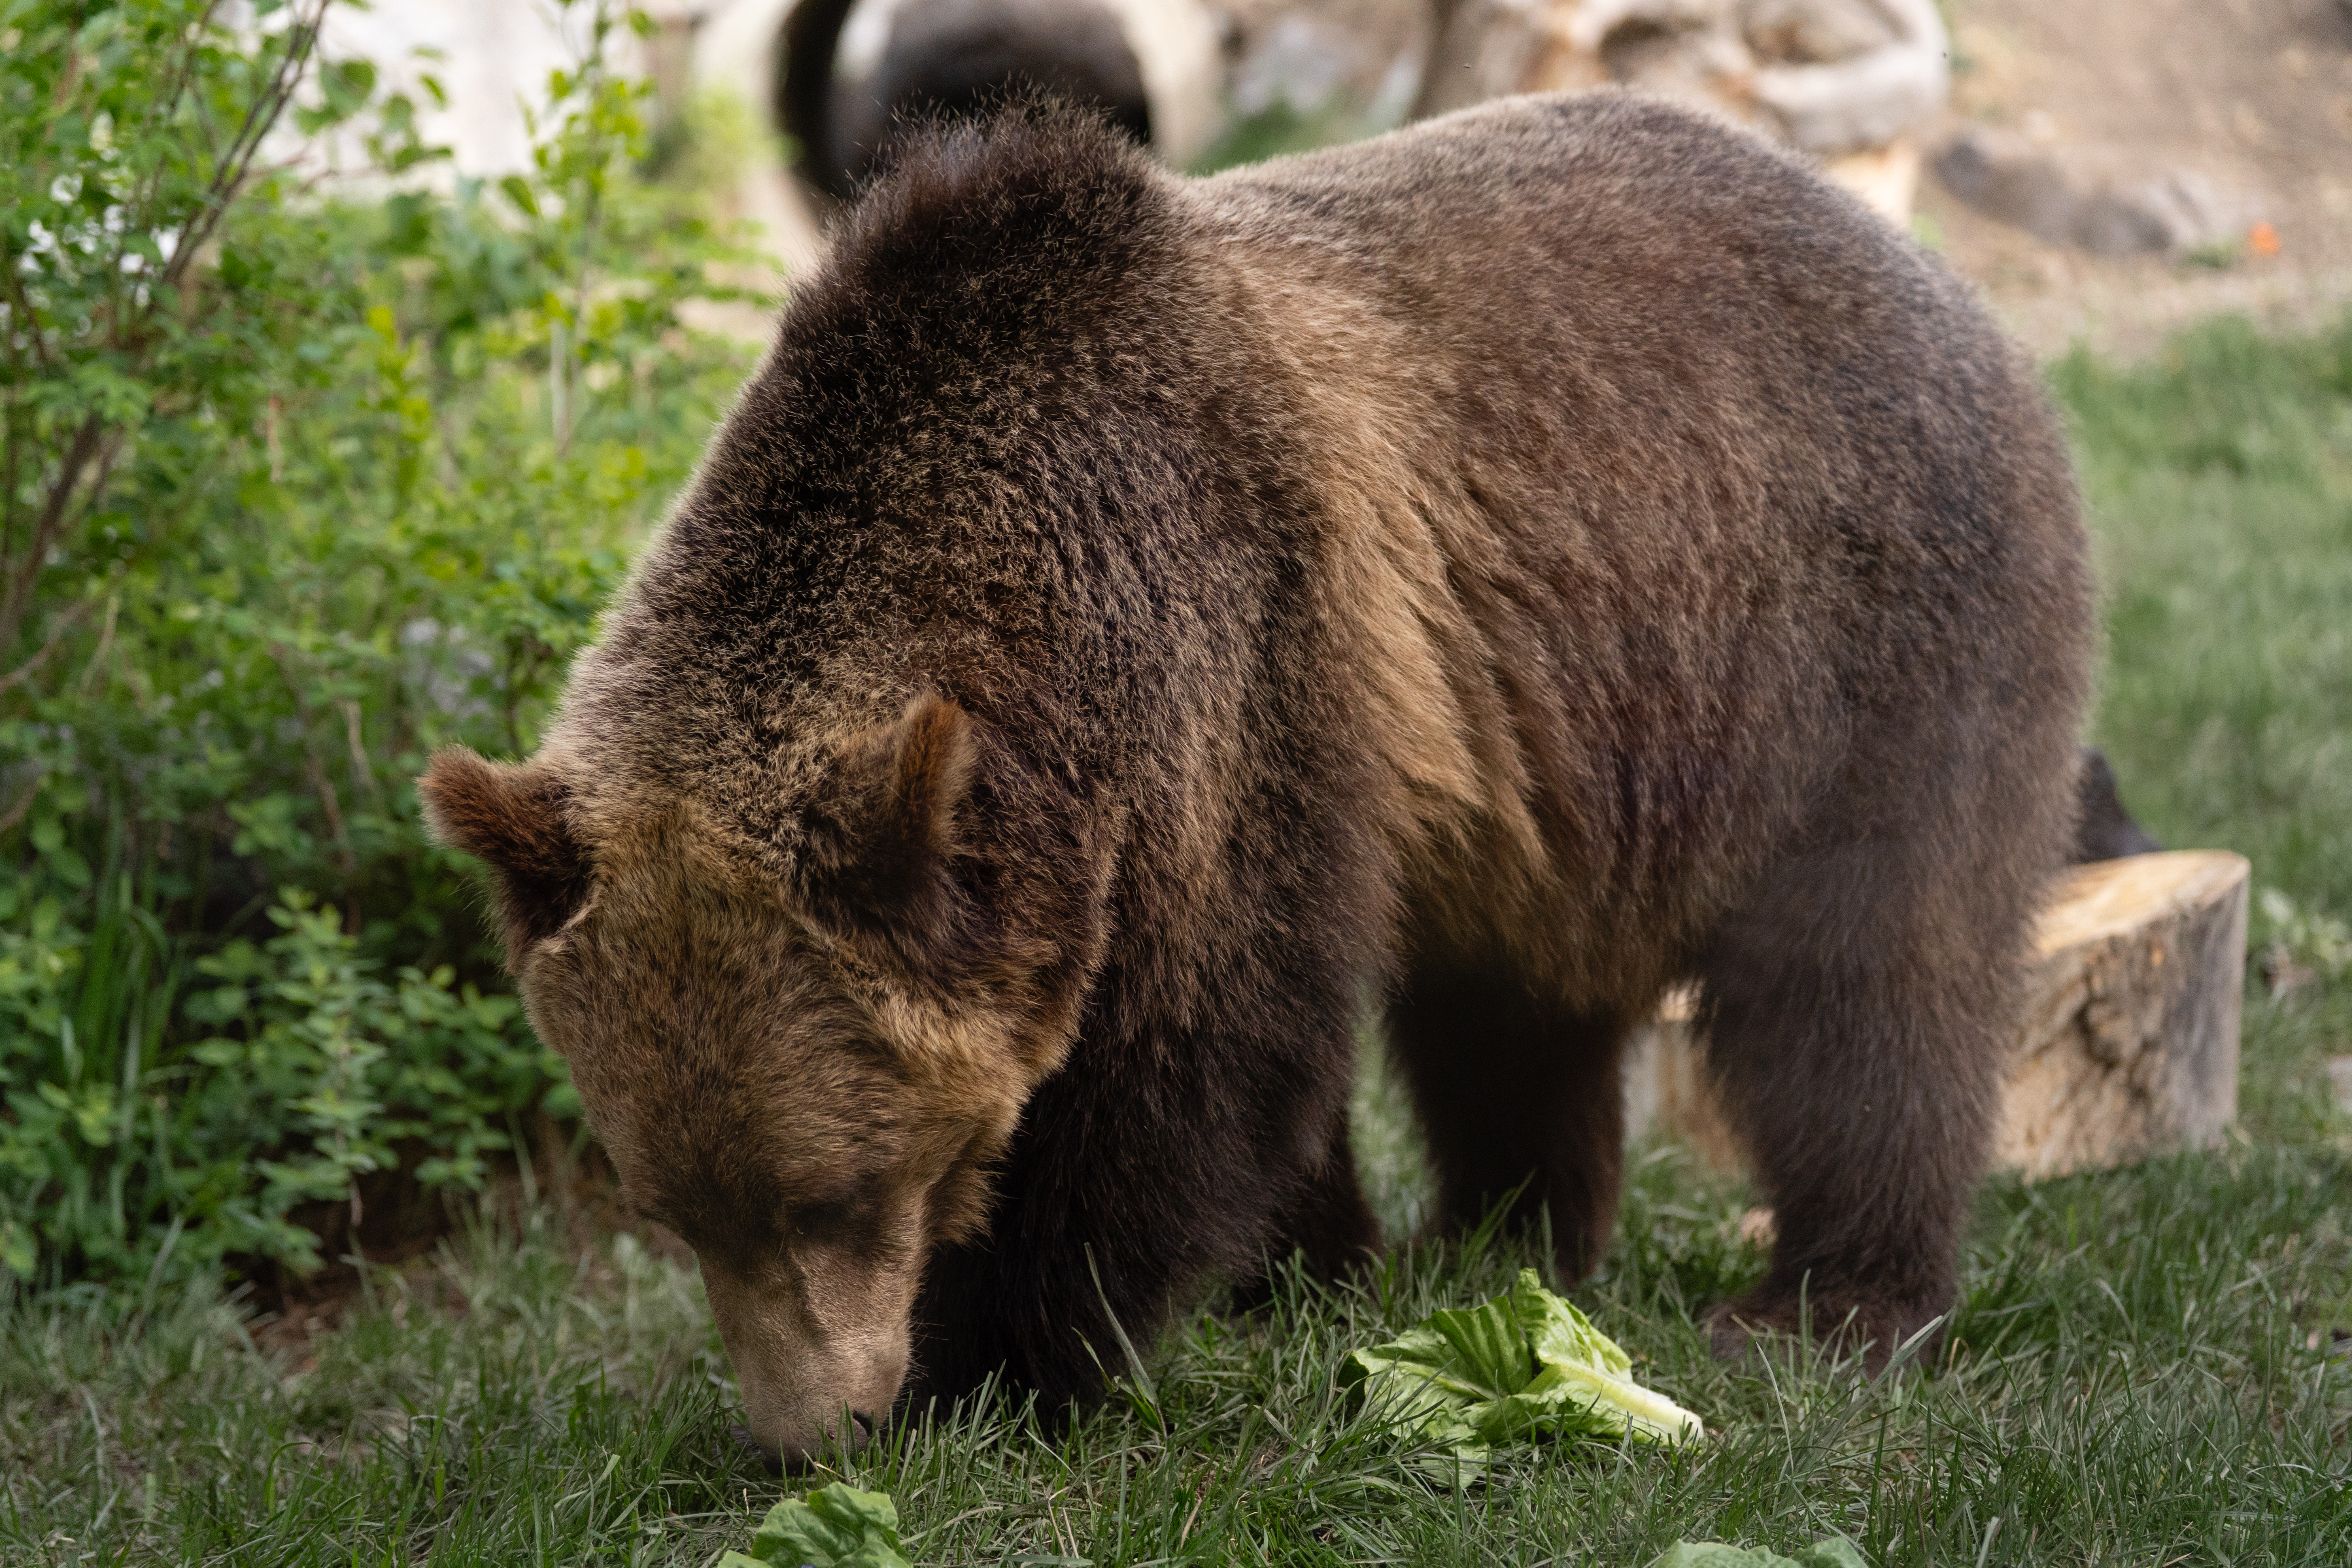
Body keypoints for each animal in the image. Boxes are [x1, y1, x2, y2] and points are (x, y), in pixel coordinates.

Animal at [419, 93, 2094, 1464]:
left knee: (1869, 983)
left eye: (839, 1191)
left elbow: (1191, 1061)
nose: (811, 1429)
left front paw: (1001, 1360)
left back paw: (1831, 1300)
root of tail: (1935, 273)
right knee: (1512, 1008)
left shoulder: (1240, 677)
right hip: (1567, 766)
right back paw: (1499, 1240)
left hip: (1861, 644)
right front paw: (1306, 1272)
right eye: (670, 1207)